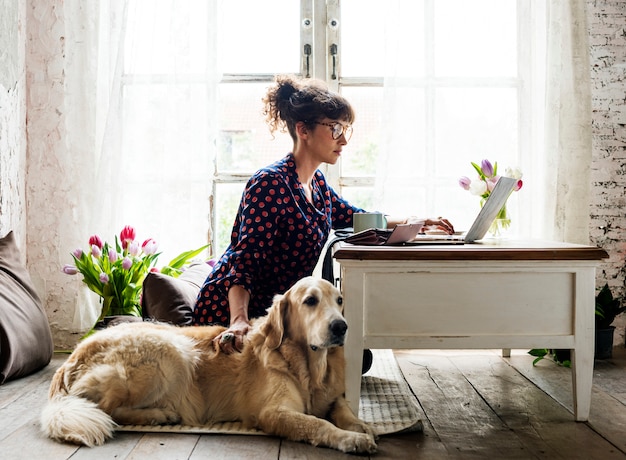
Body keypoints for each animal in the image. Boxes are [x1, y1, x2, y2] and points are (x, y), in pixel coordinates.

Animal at [44, 276, 378, 452]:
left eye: (340, 301)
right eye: (310, 301)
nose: (341, 327)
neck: (309, 366)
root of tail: (69, 360)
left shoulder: (333, 396)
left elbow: (343, 410)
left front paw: (362, 426)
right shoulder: (273, 412)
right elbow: (318, 423)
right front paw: (352, 438)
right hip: (172, 351)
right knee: (107, 409)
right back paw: (159, 415)